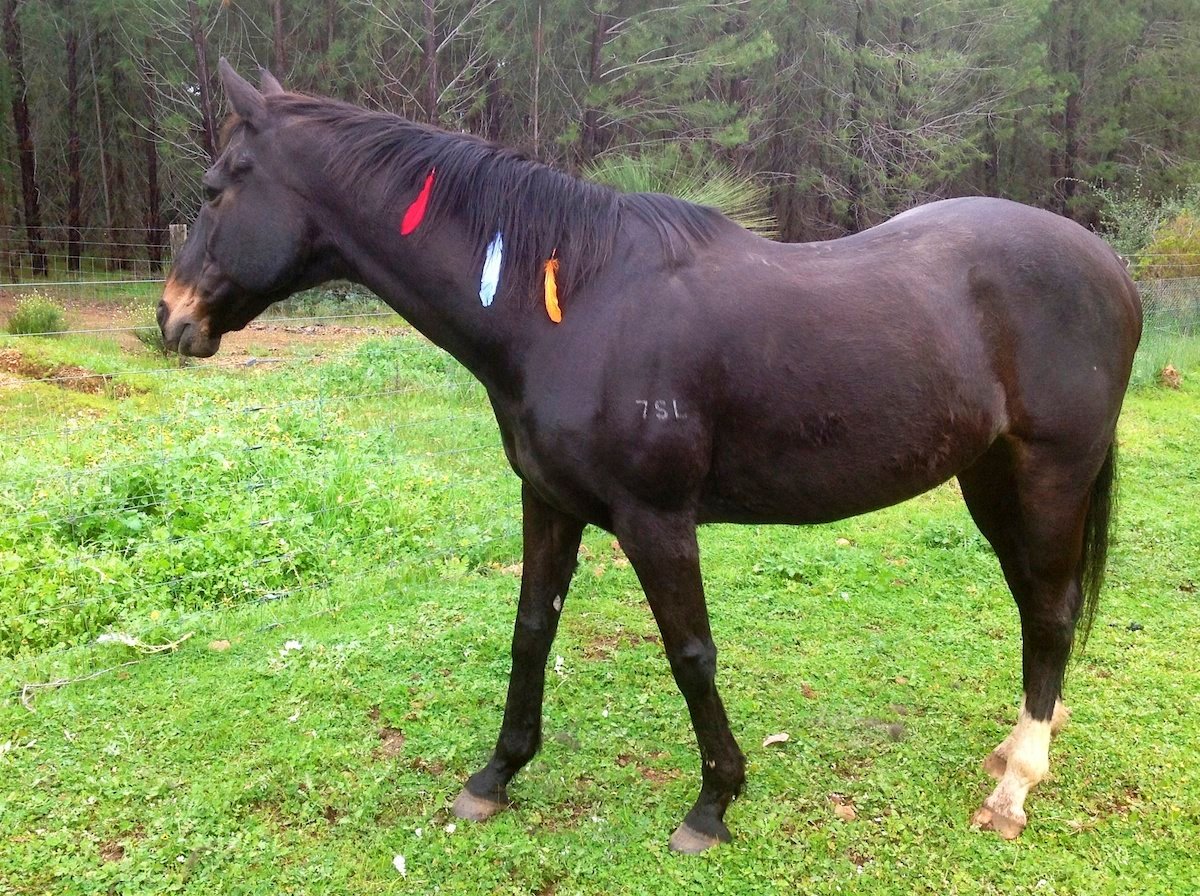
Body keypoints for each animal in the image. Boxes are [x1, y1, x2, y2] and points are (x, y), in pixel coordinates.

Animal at [162, 59, 1142, 854]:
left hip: (1050, 474)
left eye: (215, 188)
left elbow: (690, 652)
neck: (573, 306)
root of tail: (1112, 267)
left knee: (1052, 613)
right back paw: (1014, 751)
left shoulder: (656, 520)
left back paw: (1015, 789)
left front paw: (713, 804)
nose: (173, 318)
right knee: (1035, 608)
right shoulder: (549, 502)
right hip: (990, 477)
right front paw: (494, 777)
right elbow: (531, 629)